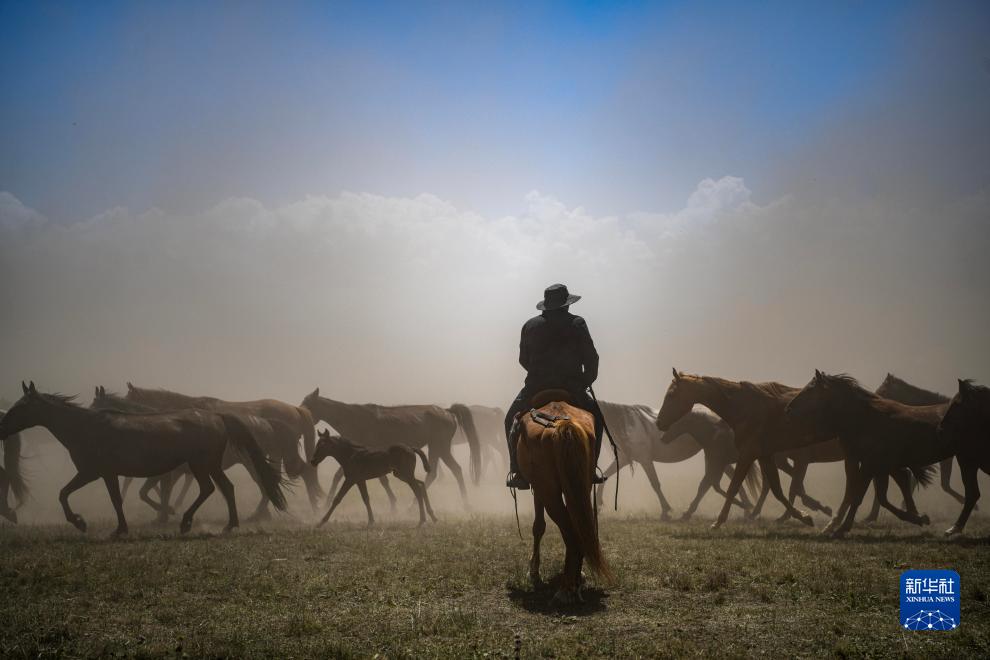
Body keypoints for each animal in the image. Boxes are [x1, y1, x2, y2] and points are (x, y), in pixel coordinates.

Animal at [0, 382, 286, 536]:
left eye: (21, 407)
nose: (2, 427)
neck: (85, 428)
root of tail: (218, 417)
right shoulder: (104, 473)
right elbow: (110, 498)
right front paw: (117, 527)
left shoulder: (94, 473)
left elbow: (67, 494)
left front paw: (82, 523)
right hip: (211, 465)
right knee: (225, 487)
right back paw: (229, 525)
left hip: (202, 465)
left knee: (211, 488)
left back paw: (188, 522)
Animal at [520, 392, 612, 608]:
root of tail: (563, 423)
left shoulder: (538, 488)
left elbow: (538, 526)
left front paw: (534, 573)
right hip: (580, 486)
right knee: (578, 528)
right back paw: (574, 582)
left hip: (549, 491)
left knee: (570, 533)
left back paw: (566, 589)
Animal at [792, 372, 944, 536]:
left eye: (810, 389)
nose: (789, 408)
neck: (864, 420)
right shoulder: (866, 463)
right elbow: (876, 496)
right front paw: (918, 518)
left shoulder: (869, 465)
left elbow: (858, 495)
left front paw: (842, 528)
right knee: (903, 478)